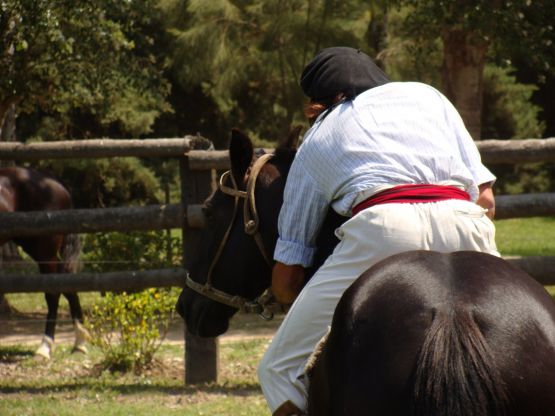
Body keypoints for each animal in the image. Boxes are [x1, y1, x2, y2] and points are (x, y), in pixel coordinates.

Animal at [0, 167, 88, 360]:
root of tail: (53, 181)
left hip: (45, 252)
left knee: (53, 293)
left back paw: (45, 348)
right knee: (67, 286)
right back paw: (79, 343)